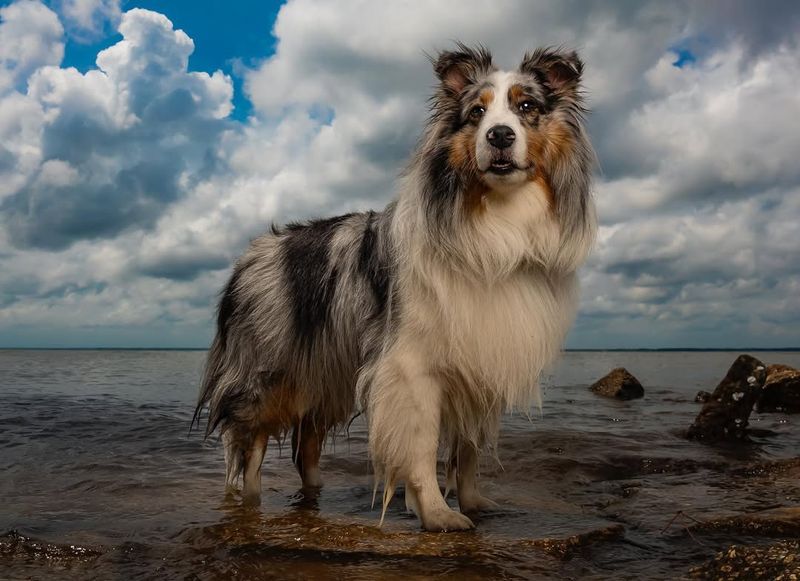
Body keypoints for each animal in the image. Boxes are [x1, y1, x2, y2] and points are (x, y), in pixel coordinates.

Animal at [192, 44, 592, 532]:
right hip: (269, 378)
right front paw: (438, 513)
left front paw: (474, 504)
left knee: (307, 443)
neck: (497, 225)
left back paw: (314, 497)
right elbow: (421, 446)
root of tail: (249, 255)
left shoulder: (479, 362)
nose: (499, 136)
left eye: (527, 106)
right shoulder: (409, 368)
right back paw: (249, 507)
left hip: (325, 376)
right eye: (477, 113)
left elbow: (468, 452)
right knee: (248, 446)